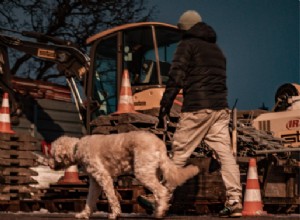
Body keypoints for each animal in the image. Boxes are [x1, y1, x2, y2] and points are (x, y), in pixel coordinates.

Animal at [49, 131, 199, 218]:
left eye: (51, 154)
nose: (48, 164)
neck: (77, 148)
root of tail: (160, 144)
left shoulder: (104, 177)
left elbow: (112, 197)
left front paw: (115, 214)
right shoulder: (95, 182)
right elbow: (89, 200)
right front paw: (84, 214)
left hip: (142, 172)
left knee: (162, 191)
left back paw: (159, 212)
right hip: (151, 171)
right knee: (160, 191)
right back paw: (158, 209)